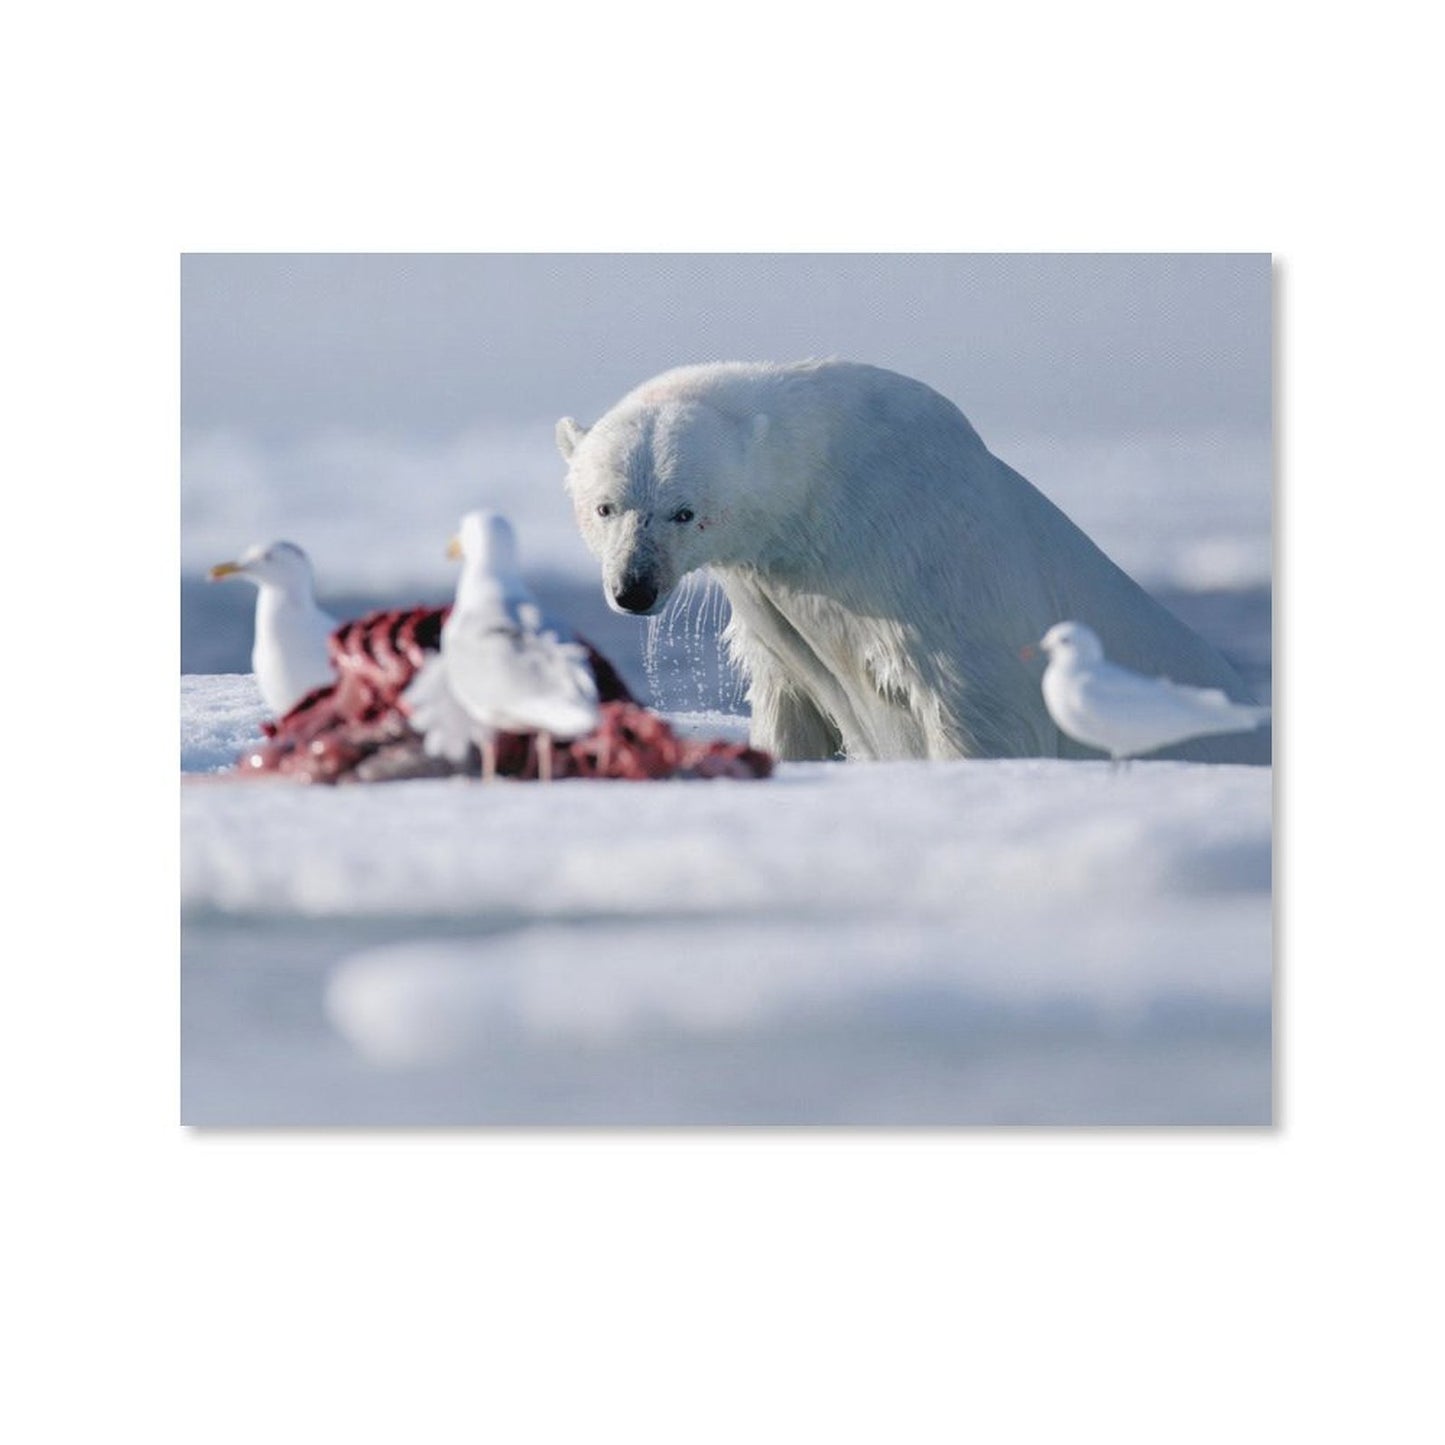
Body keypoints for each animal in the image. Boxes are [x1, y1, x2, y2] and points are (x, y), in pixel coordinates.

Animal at [556, 359, 1268, 764]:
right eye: (605, 507)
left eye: (684, 511)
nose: (634, 589)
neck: (833, 487)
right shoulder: (778, 608)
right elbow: (789, 708)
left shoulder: (932, 565)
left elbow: (985, 712)